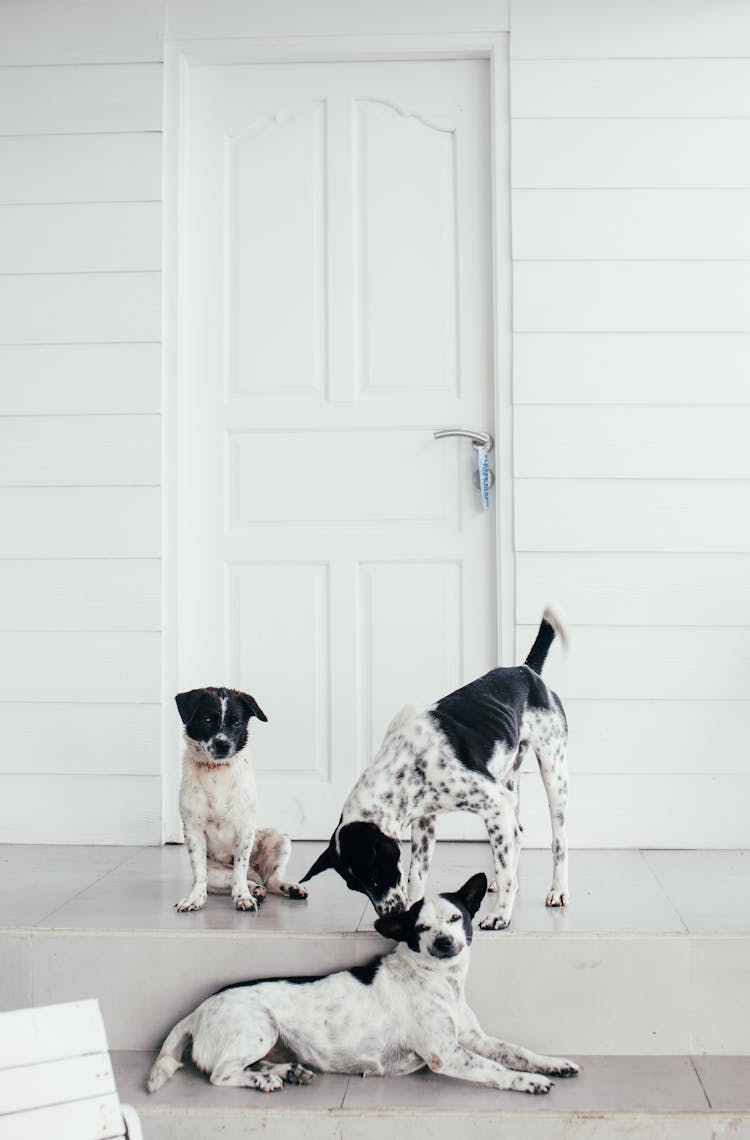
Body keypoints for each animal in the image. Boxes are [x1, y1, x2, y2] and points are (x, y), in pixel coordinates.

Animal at [145, 870, 579, 1094]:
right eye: (421, 928)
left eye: (456, 918)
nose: (443, 942)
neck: (441, 982)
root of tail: (196, 1012)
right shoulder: (448, 1053)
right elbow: (497, 1069)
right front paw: (529, 1081)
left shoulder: (474, 1038)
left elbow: (516, 1050)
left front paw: (552, 1063)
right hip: (259, 1028)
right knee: (221, 1075)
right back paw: (267, 1080)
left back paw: (286, 1072)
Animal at [173, 684, 305, 916]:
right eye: (207, 719)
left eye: (237, 723)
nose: (222, 744)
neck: (217, 772)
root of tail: (257, 874)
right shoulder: (193, 831)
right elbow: (199, 875)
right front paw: (194, 899)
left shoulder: (244, 830)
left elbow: (240, 868)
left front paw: (243, 898)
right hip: (217, 873)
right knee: (237, 880)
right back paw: (255, 890)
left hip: (279, 838)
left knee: (269, 879)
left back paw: (285, 888)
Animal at [298, 606, 567, 925]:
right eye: (357, 887)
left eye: (376, 877)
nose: (389, 916)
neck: (405, 763)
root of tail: (526, 671)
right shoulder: (426, 822)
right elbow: (417, 875)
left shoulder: (494, 803)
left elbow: (504, 872)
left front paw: (500, 916)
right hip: (508, 778)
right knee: (516, 834)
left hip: (553, 774)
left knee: (557, 841)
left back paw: (557, 891)